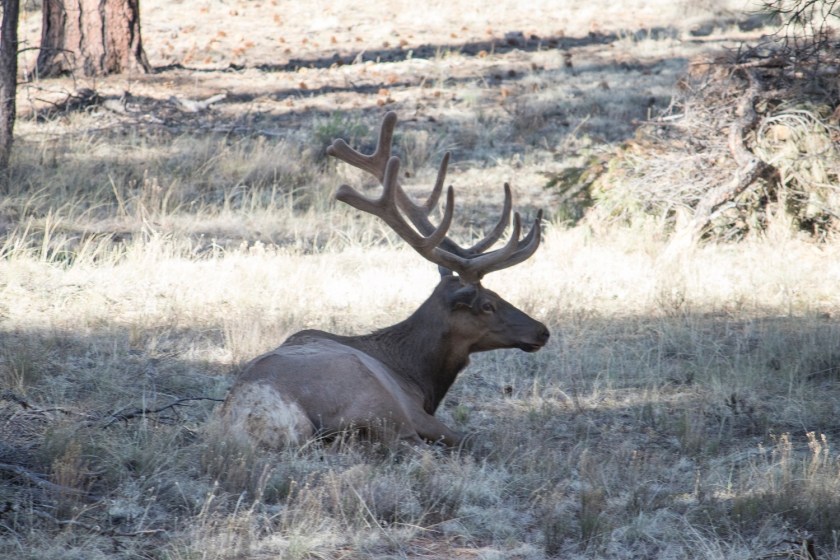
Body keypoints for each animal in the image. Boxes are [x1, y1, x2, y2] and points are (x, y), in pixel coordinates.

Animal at [217, 111, 549, 449]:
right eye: (487, 304)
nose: (542, 331)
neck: (417, 374)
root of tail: (261, 414)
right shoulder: (414, 409)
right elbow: (468, 438)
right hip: (378, 402)